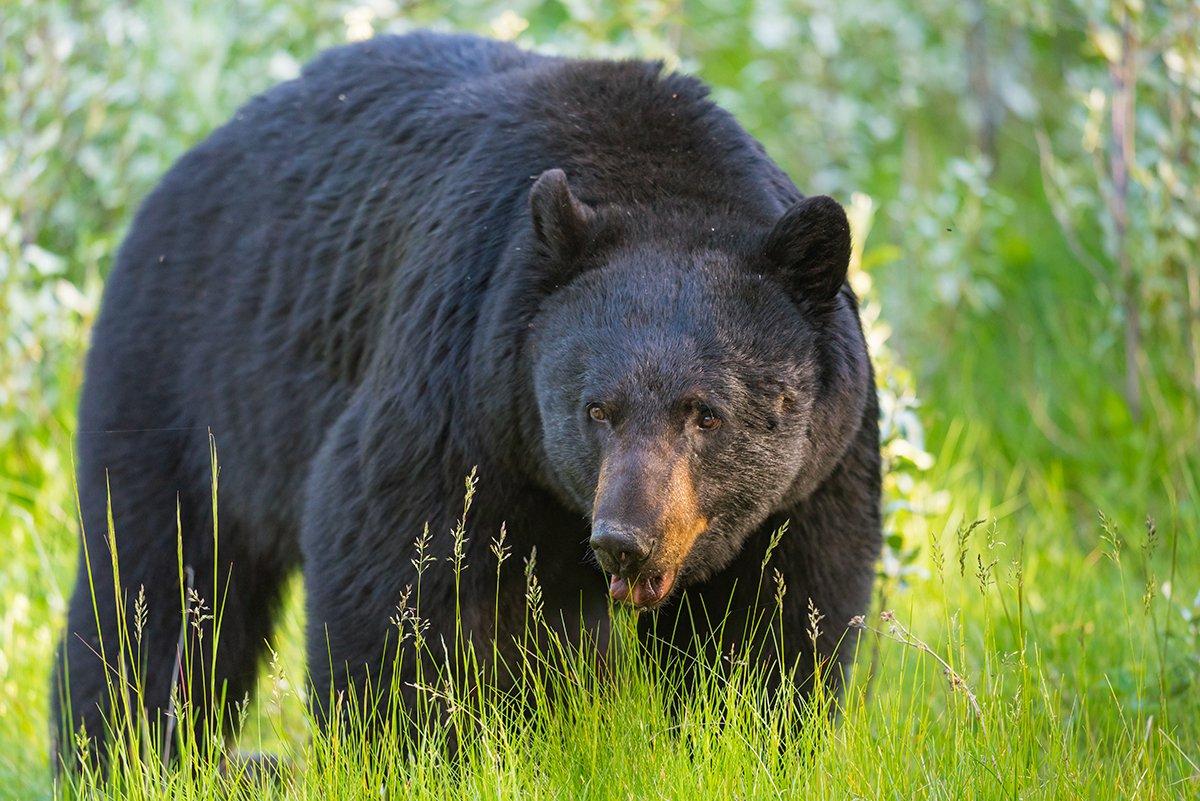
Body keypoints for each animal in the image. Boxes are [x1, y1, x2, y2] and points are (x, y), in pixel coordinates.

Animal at [54, 31, 883, 767]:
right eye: (596, 409)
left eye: (706, 413)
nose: (626, 537)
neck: (664, 185)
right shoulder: (461, 386)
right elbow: (398, 576)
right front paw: (412, 751)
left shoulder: (817, 471)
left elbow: (777, 622)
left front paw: (752, 736)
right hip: (190, 379)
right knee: (157, 582)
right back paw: (120, 753)